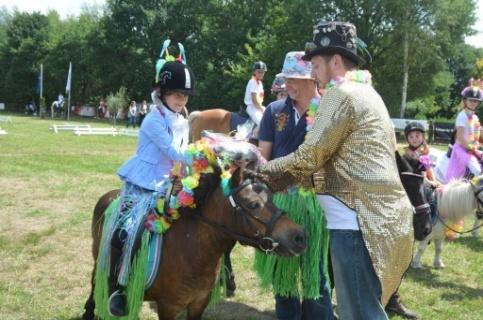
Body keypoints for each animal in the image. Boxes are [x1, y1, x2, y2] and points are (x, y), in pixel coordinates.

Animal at [81, 165, 304, 320]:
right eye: (253, 204)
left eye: (272, 198)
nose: (300, 237)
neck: (193, 251)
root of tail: (109, 196)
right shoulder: (168, 306)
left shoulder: (198, 303)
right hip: (98, 255)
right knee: (95, 281)